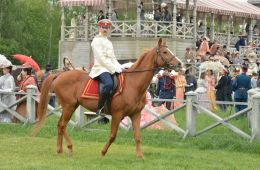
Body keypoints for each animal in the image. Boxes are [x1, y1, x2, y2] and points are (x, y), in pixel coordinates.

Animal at [33, 38, 182, 158]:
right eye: (165, 52)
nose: (180, 64)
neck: (133, 84)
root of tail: (59, 75)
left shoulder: (136, 115)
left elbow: (138, 136)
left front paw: (140, 156)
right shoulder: (117, 114)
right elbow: (112, 136)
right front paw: (103, 152)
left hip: (71, 106)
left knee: (61, 125)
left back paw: (61, 149)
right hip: (69, 106)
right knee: (62, 125)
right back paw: (67, 148)